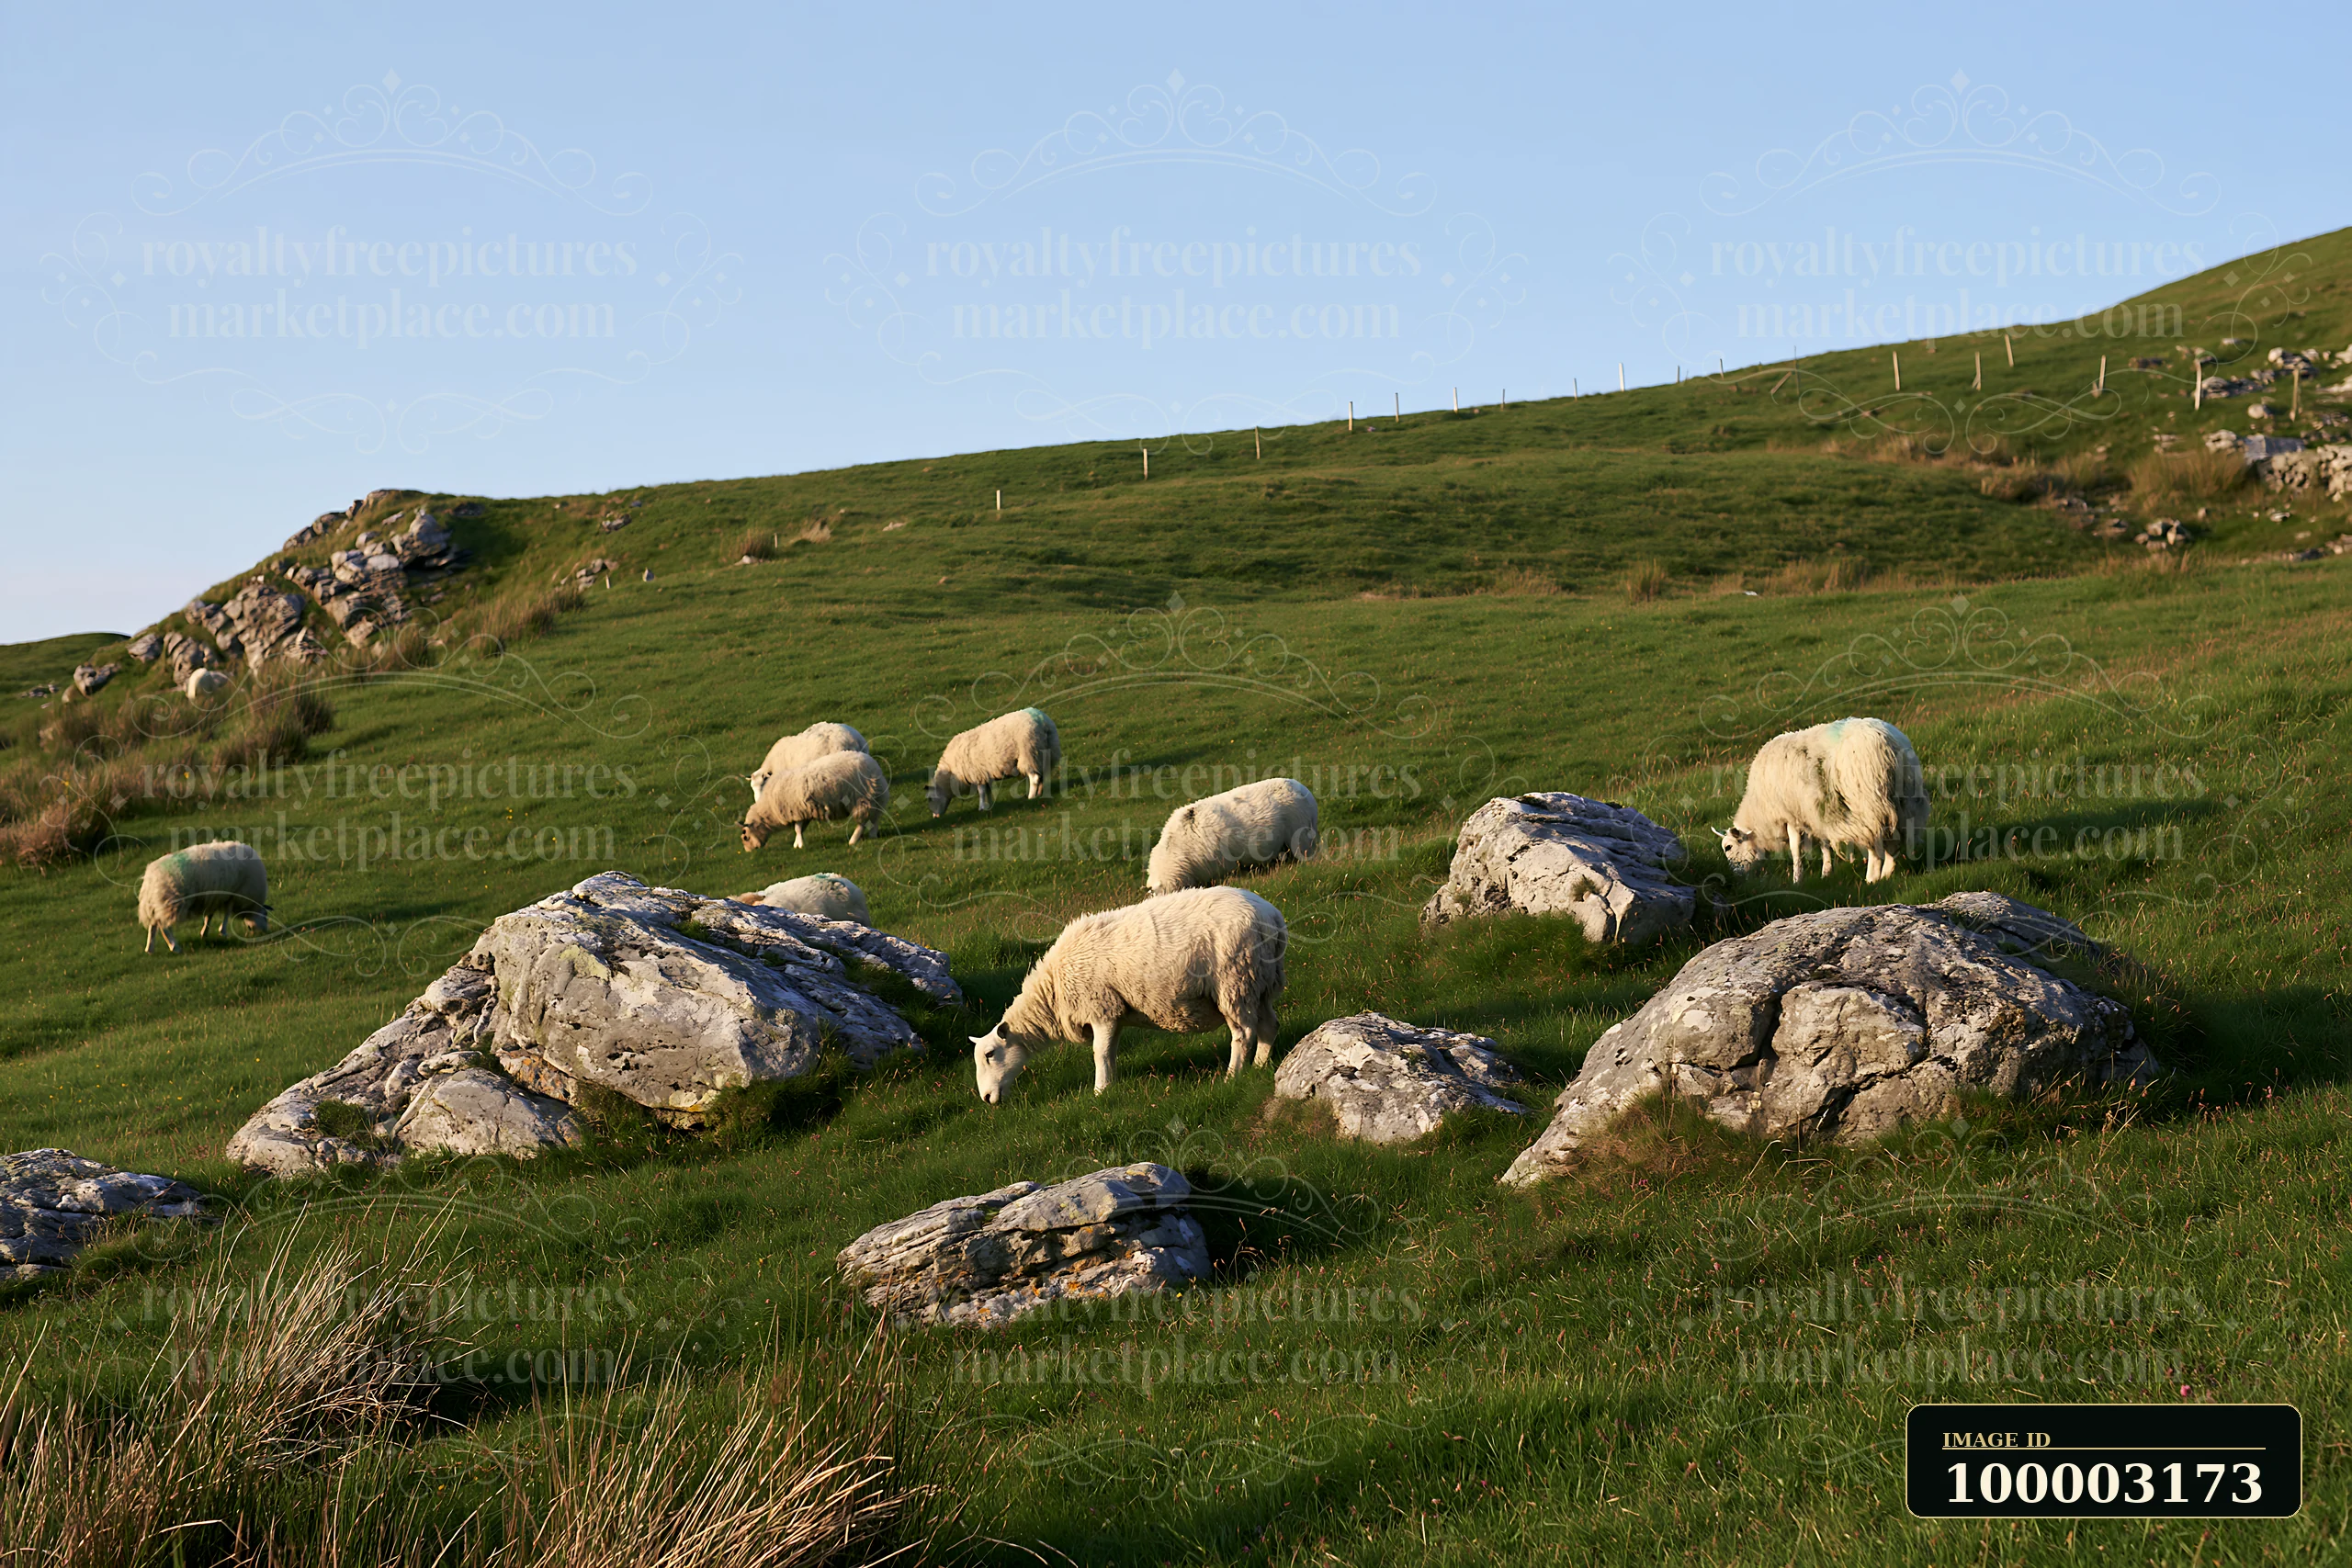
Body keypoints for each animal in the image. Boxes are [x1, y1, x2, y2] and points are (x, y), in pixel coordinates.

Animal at [138, 840, 270, 953]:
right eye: (265, 916)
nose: (265, 931)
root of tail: (150, 878)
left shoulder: (216, 897)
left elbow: (209, 915)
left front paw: (204, 933)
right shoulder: (233, 894)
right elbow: (227, 913)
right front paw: (223, 931)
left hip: (159, 903)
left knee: (153, 925)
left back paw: (149, 949)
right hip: (173, 902)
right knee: (163, 926)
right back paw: (174, 947)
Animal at [741, 749, 889, 851]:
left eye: (745, 837)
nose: (749, 851)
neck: (769, 809)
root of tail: (874, 766)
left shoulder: (795, 810)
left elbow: (797, 829)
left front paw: (799, 845)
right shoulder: (803, 812)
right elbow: (800, 829)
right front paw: (797, 843)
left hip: (861, 798)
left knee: (863, 821)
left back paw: (853, 840)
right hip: (875, 798)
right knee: (875, 818)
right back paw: (873, 835)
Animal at [926, 707, 1059, 818]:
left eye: (930, 799)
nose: (935, 817)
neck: (951, 773)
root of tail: (1043, 723)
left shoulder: (977, 774)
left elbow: (981, 792)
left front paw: (981, 807)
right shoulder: (984, 774)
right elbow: (988, 791)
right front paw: (989, 805)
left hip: (1028, 753)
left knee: (1035, 778)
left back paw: (1031, 796)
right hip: (1046, 754)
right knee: (1042, 775)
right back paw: (1040, 793)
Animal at [970, 886, 1286, 1102]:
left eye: (989, 1054)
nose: (986, 1098)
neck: (1053, 991)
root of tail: (1271, 917)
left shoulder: (1101, 1007)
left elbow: (1099, 1053)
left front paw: (1099, 1091)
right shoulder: (1115, 1013)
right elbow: (1109, 1052)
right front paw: (1110, 1085)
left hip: (1235, 981)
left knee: (1243, 1033)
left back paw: (1233, 1076)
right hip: (1262, 983)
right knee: (1269, 1026)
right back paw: (1260, 1065)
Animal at [1717, 717, 1928, 884]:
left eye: (1728, 847)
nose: (1735, 877)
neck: (1760, 810)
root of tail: (1887, 741)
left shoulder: (1792, 815)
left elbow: (1795, 848)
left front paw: (1797, 879)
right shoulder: (1815, 812)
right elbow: (1824, 843)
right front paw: (1826, 872)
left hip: (1868, 803)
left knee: (1874, 840)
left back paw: (1872, 877)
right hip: (1906, 801)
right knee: (1897, 835)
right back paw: (1887, 872)